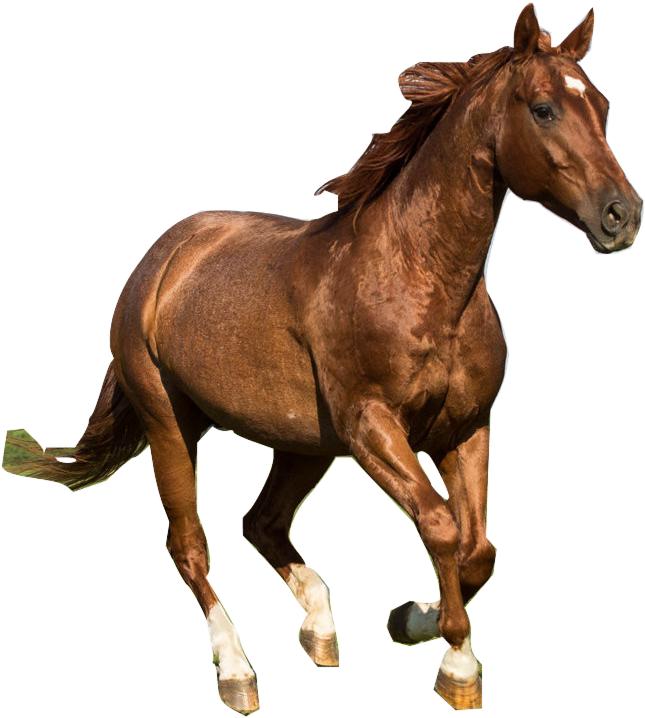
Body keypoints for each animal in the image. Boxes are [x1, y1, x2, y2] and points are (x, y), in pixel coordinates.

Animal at [4, 4, 641, 712]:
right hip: (170, 425)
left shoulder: (465, 427)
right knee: (191, 545)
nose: (623, 215)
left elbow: (479, 549)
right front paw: (455, 664)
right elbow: (442, 526)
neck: (418, 275)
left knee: (262, 523)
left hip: (304, 443)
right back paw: (238, 673)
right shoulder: (372, 426)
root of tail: (159, 260)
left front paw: (416, 622)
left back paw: (320, 627)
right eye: (544, 108)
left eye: (603, 106)